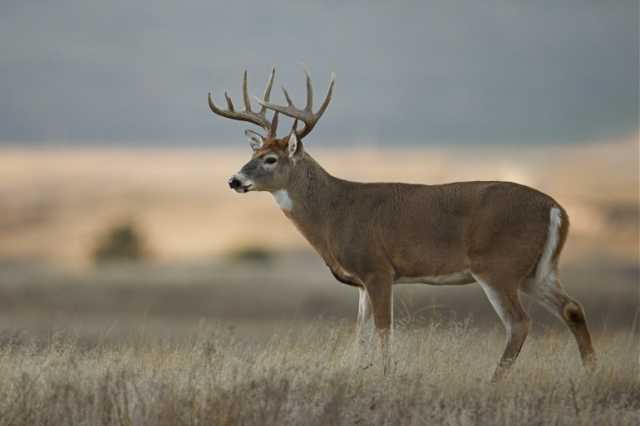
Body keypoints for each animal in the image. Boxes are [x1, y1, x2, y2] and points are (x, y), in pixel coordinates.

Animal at [208, 68, 596, 382]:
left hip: (498, 266)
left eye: (271, 159)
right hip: (536, 270)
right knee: (572, 307)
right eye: (253, 153)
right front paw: (359, 373)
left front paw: (386, 376)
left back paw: (494, 381)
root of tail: (556, 209)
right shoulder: (361, 281)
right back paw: (590, 372)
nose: (233, 180)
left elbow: (383, 330)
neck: (334, 213)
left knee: (519, 322)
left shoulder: (378, 269)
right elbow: (361, 334)